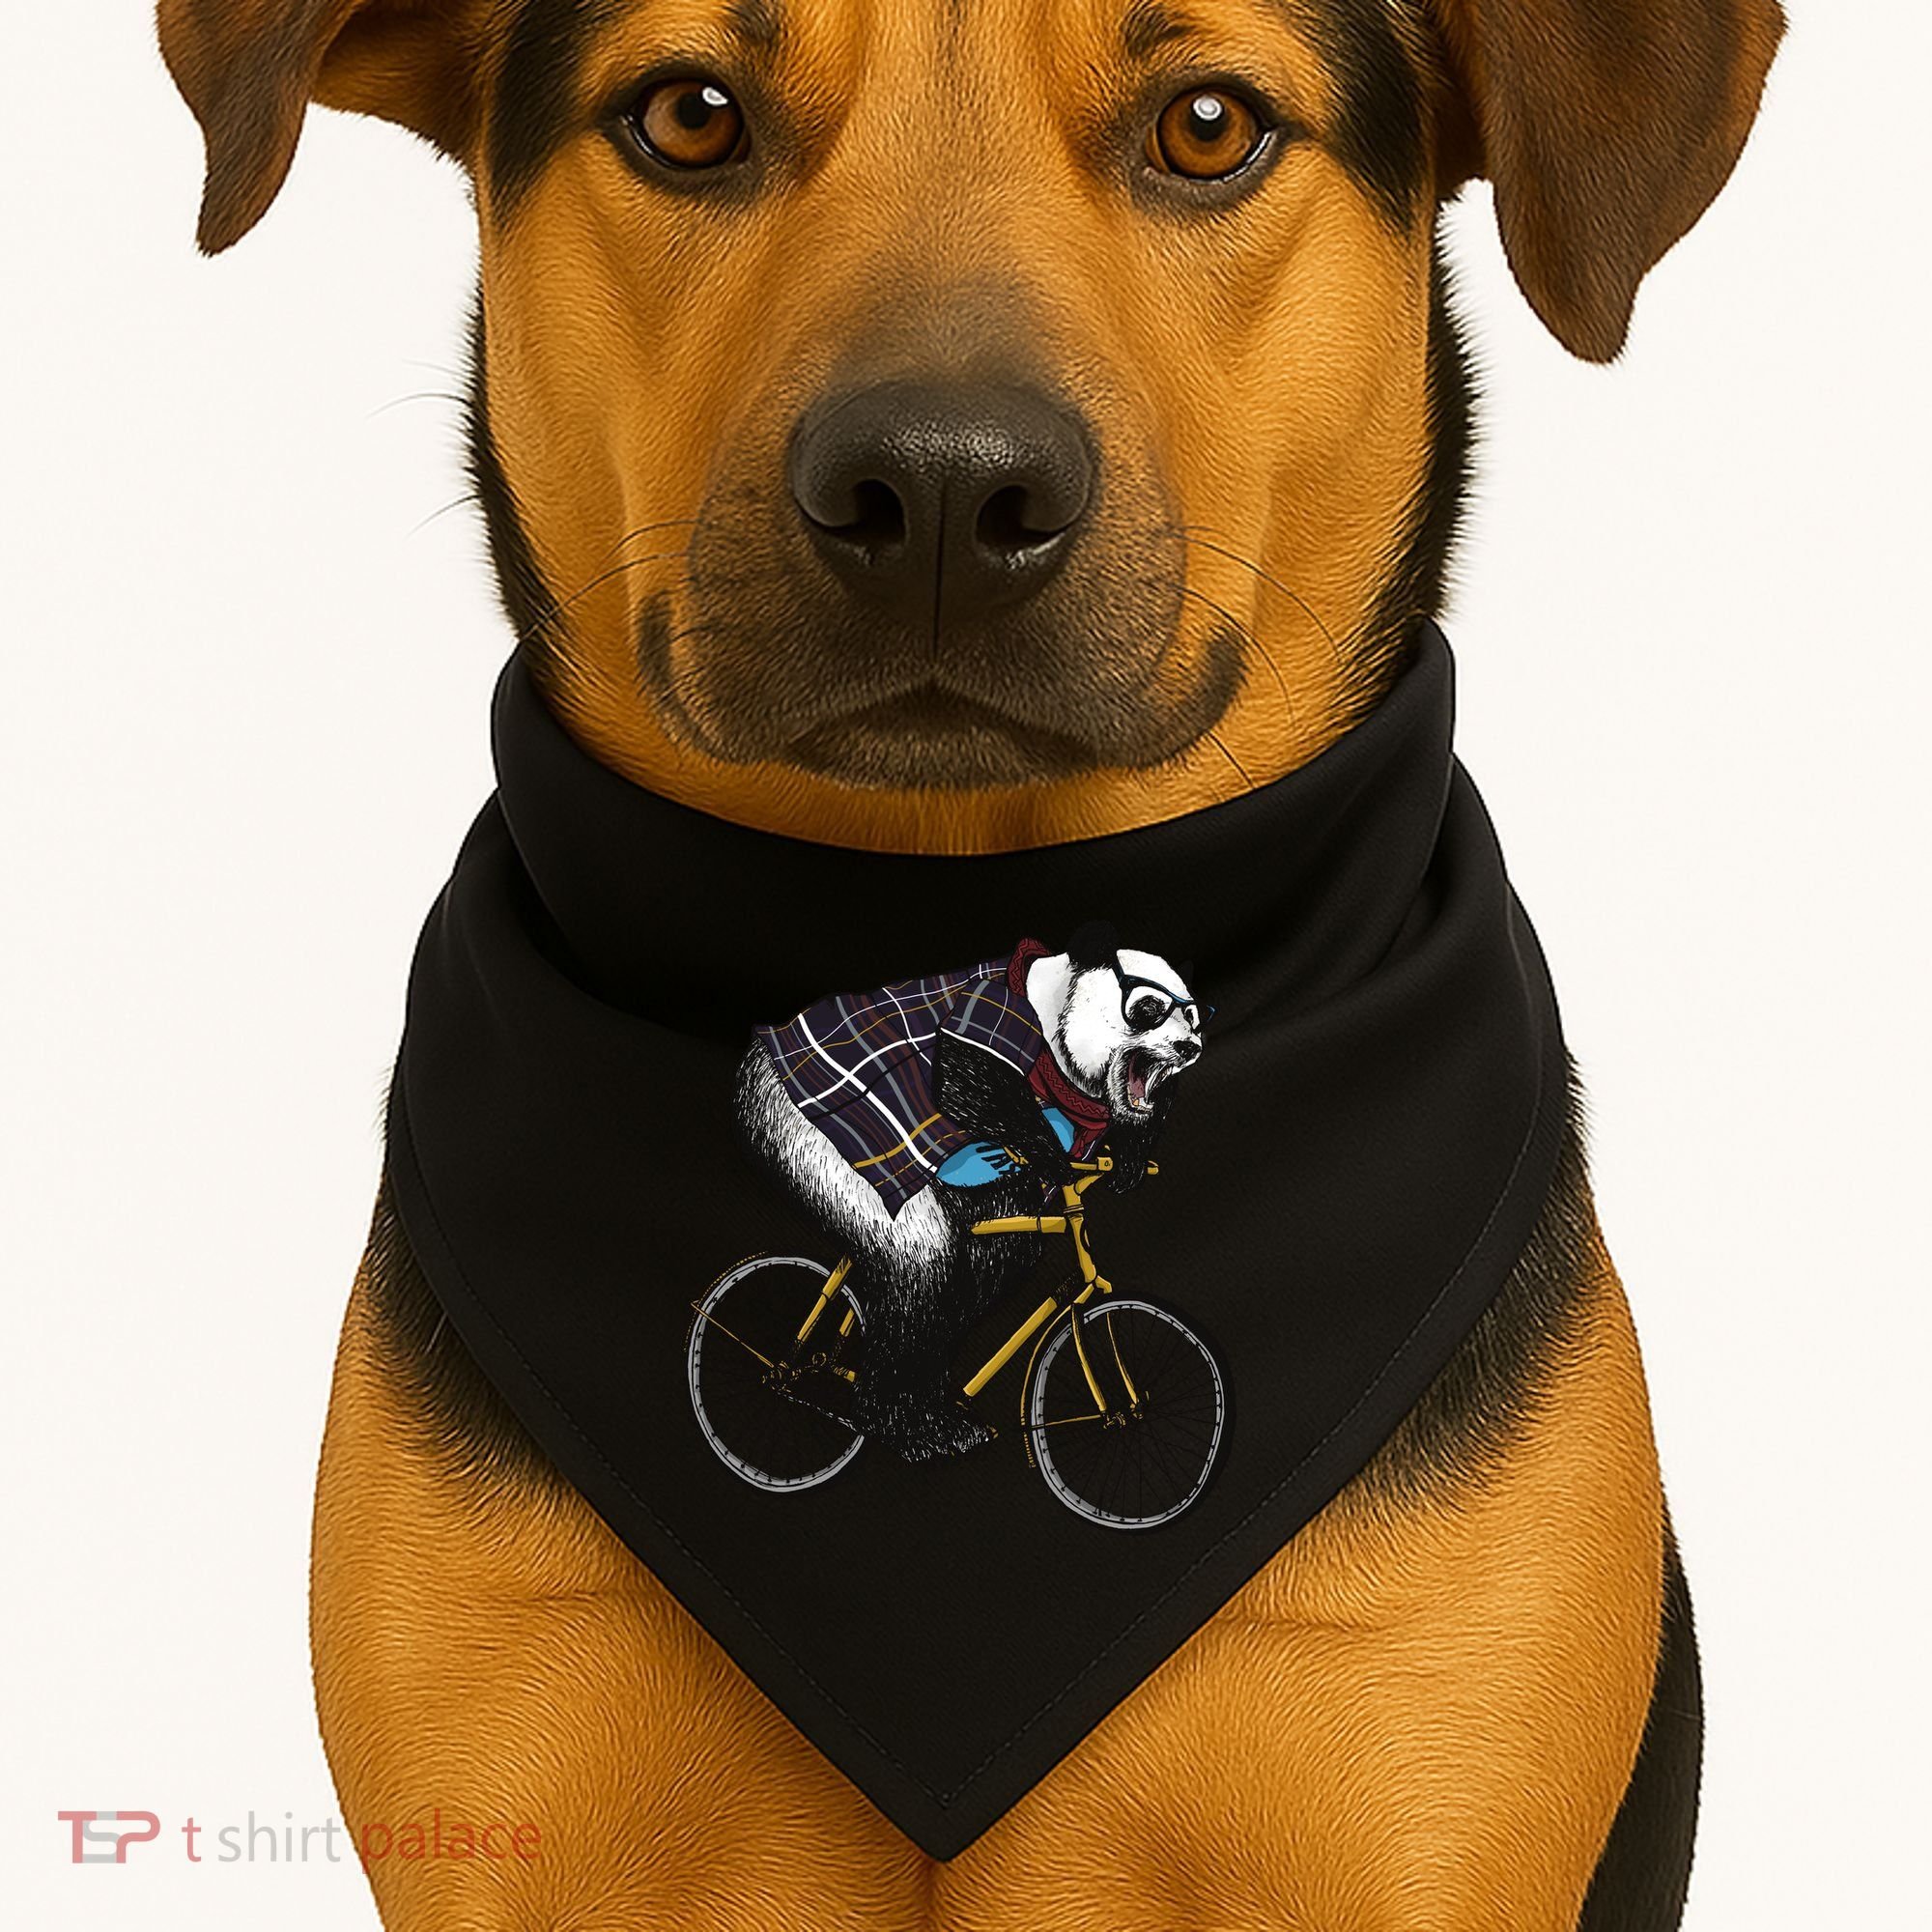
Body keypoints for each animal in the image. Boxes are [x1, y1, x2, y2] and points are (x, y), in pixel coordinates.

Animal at [735, 921, 1208, 1461]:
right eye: (1149, 1008)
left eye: (1195, 1017)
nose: (1191, 1048)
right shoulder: (993, 1009)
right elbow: (964, 1070)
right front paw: (1055, 1161)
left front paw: (1125, 1161)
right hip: (803, 1137)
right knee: (921, 1267)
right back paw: (903, 1424)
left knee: (990, 1259)